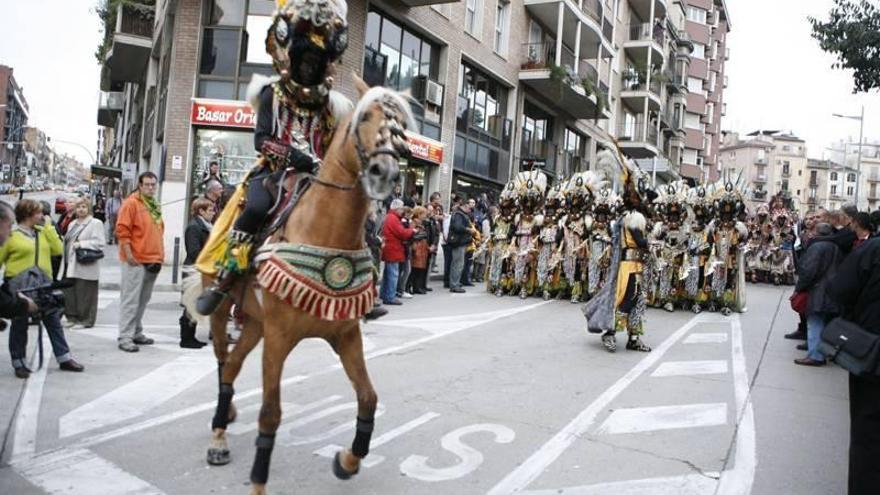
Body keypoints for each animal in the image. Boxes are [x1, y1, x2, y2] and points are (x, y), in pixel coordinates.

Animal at [187, 78, 414, 495]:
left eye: (400, 126)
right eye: (366, 117)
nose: (386, 171)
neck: (323, 231)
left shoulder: (345, 335)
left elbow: (368, 398)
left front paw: (348, 460)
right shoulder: (279, 337)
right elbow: (270, 414)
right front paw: (258, 482)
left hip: (254, 322)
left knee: (231, 366)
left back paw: (224, 419)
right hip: (224, 310)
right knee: (223, 361)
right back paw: (218, 435)